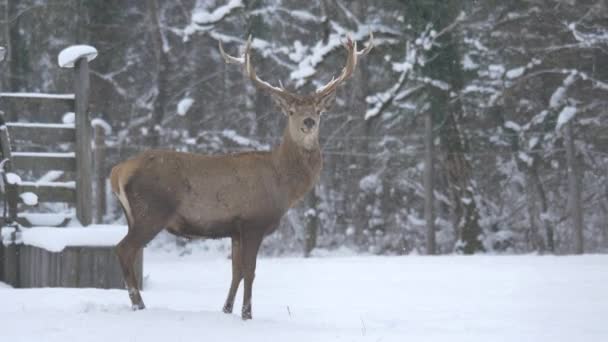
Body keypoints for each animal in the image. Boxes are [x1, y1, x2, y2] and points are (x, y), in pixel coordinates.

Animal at [111, 33, 372, 320]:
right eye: (291, 111)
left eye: (317, 110)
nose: (308, 122)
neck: (283, 184)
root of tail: (117, 171)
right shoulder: (253, 222)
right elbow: (250, 270)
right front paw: (247, 314)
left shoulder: (235, 229)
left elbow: (235, 271)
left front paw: (226, 310)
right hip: (152, 210)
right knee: (123, 249)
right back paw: (139, 304)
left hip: (134, 215)